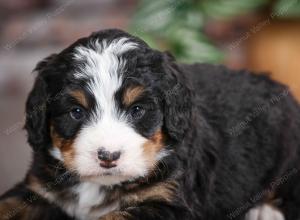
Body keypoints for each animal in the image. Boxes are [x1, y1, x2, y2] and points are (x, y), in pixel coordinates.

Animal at [0, 29, 300, 220]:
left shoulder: (169, 203)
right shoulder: (38, 188)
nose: (108, 156)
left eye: (137, 110)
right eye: (76, 112)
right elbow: (8, 204)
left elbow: (117, 217)